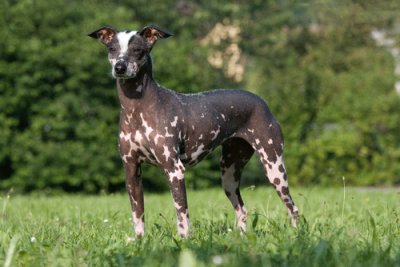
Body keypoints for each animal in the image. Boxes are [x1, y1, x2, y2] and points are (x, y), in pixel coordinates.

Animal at [89, 25, 298, 239]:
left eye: (137, 50)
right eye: (112, 49)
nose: (120, 68)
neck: (137, 108)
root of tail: (261, 101)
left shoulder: (174, 170)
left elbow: (182, 214)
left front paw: (184, 240)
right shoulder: (131, 171)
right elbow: (137, 214)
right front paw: (140, 240)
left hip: (274, 167)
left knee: (293, 207)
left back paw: (296, 233)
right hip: (229, 175)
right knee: (242, 209)